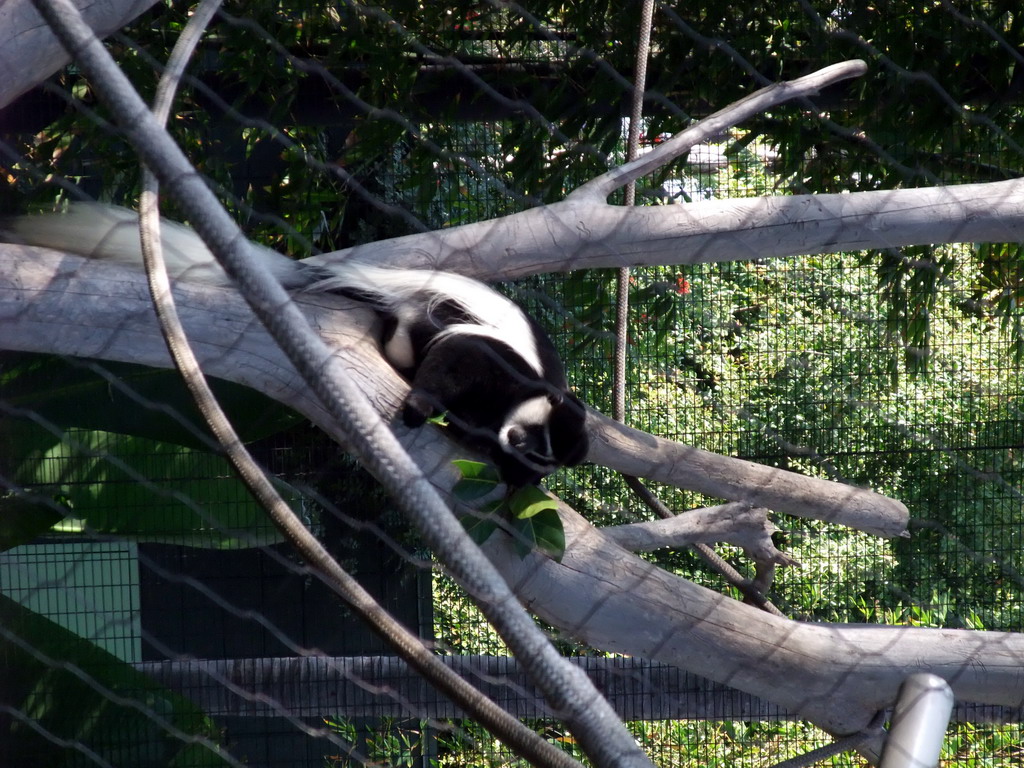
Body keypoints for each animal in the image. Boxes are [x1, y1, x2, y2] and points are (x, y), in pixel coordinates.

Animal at [8, 205, 589, 487]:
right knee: (410, 345)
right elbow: (455, 364)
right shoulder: (494, 360)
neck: (534, 393)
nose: (516, 440)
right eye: (536, 440)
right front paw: (424, 408)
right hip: (418, 318)